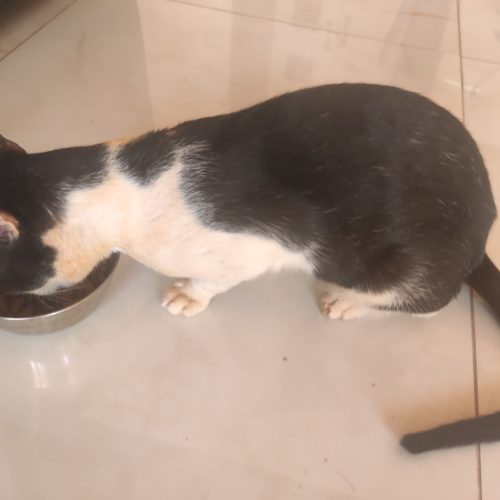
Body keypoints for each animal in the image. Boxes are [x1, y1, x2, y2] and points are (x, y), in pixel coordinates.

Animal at [1, 83, 499, 451]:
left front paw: (188, 295)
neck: (119, 186)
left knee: (429, 299)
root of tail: (483, 217)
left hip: (390, 265)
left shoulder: (251, 248)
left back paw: (348, 302)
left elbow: (212, 280)